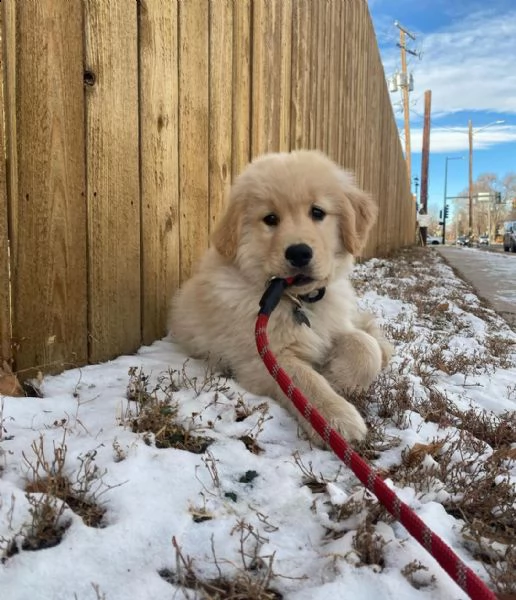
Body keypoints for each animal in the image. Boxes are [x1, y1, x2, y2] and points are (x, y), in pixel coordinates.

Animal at [169, 148, 392, 442]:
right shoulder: (264, 356)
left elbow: (365, 346)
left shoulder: (332, 324)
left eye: (317, 212)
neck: (295, 299)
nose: (299, 253)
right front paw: (336, 418)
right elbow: (307, 383)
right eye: (270, 219)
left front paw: (338, 375)